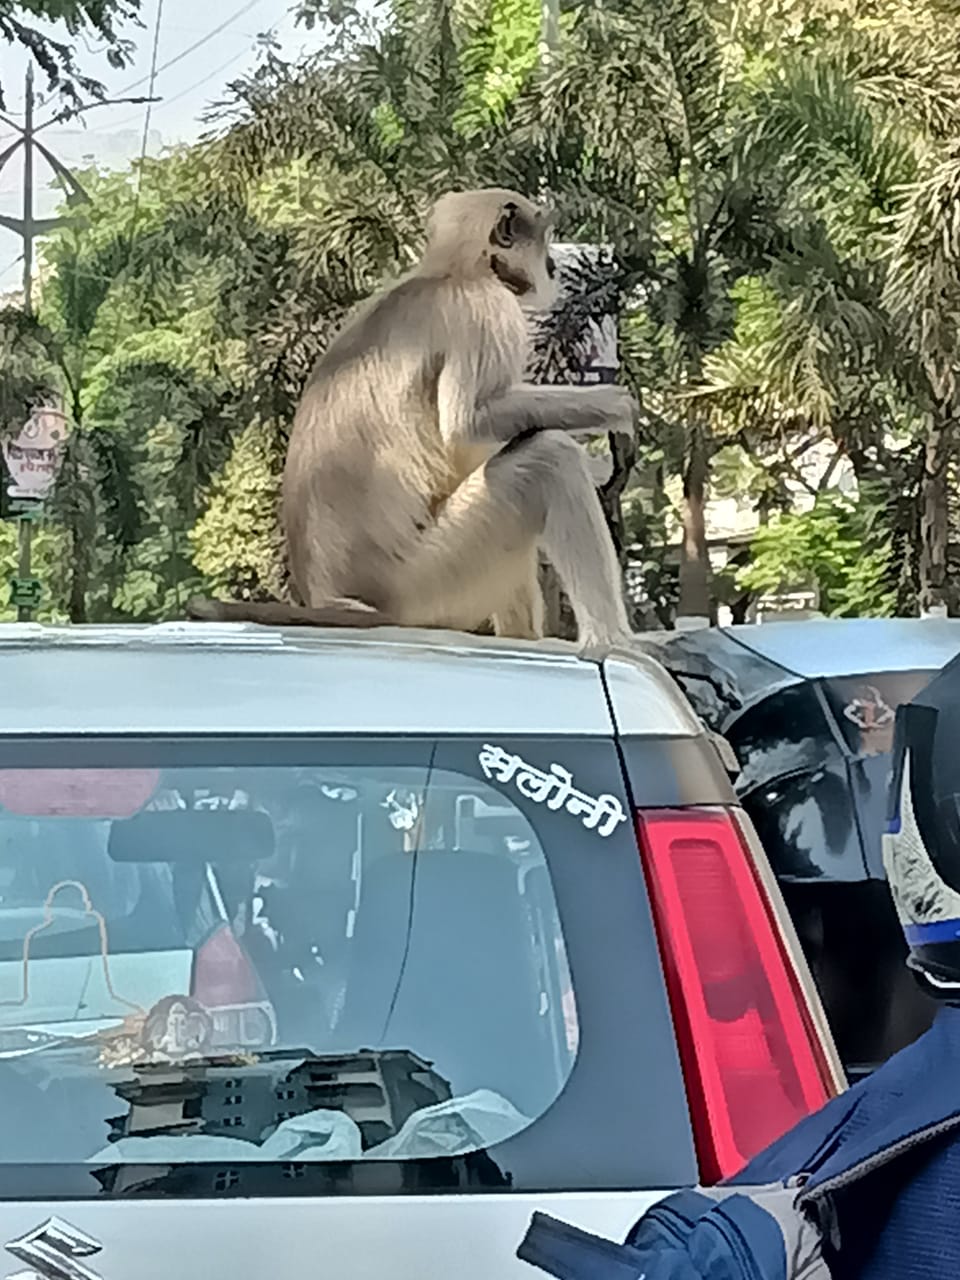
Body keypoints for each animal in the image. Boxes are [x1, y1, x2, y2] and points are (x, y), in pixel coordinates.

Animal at [188, 186, 640, 650]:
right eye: (544, 239)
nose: (551, 265)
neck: (450, 272)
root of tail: (329, 597)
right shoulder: (485, 308)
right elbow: (468, 424)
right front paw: (616, 406)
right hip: (427, 578)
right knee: (547, 460)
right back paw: (613, 642)